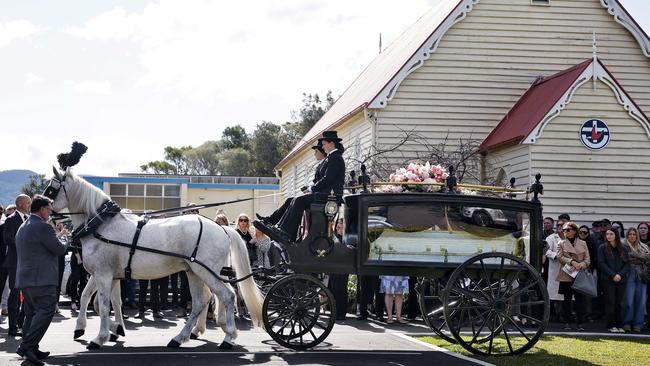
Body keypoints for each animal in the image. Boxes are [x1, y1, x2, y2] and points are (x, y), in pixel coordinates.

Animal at [50, 169, 264, 348]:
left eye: (51, 188)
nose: (44, 206)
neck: (101, 226)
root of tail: (222, 228)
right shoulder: (106, 274)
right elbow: (92, 299)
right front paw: (102, 329)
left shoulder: (103, 274)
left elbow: (102, 305)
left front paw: (100, 337)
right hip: (194, 272)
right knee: (201, 301)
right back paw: (183, 336)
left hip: (206, 272)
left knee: (227, 296)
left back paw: (227, 338)